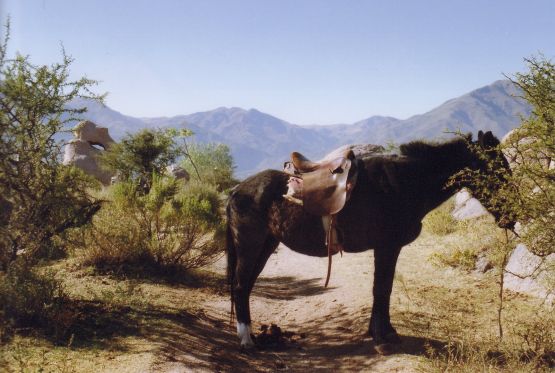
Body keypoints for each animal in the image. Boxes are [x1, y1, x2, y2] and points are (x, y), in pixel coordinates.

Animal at [226, 131, 512, 352]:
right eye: (496, 167)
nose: (510, 217)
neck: (405, 183)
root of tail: (237, 189)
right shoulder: (387, 247)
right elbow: (382, 289)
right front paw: (384, 336)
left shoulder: (387, 248)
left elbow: (382, 289)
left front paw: (380, 332)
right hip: (250, 245)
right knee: (240, 287)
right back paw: (247, 341)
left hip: (266, 246)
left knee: (246, 286)